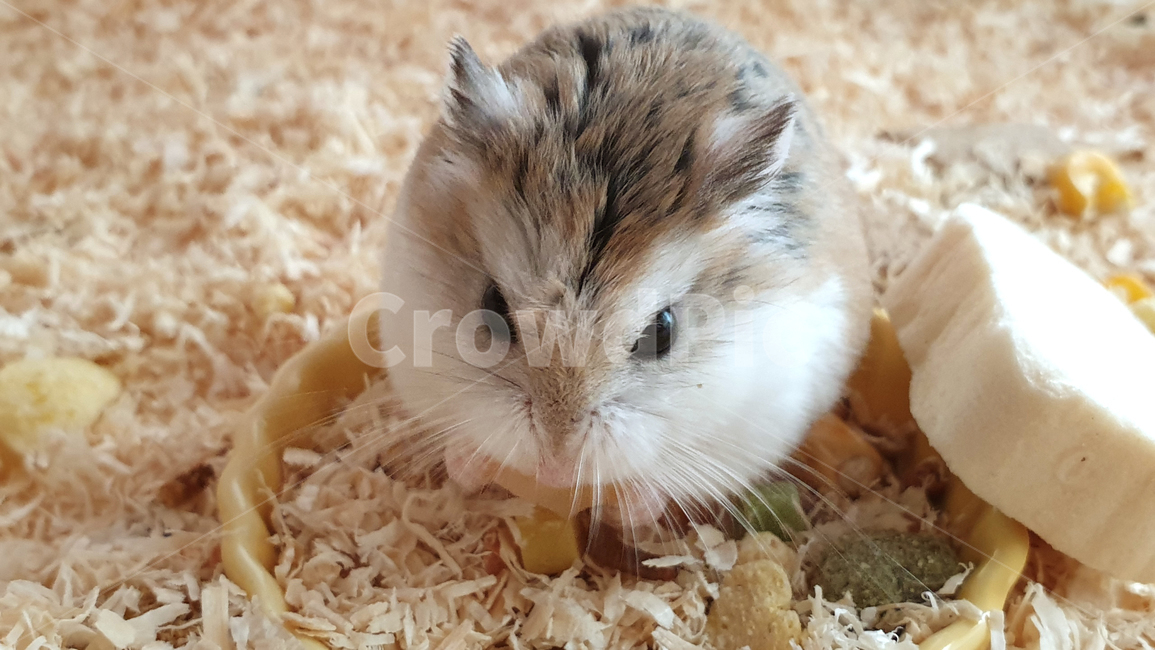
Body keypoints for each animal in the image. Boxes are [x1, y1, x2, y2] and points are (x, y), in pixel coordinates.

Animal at [377, 7, 873, 528]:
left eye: (663, 332)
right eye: (491, 308)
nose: (555, 466)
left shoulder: (756, 424)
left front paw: (630, 503)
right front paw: (469, 462)